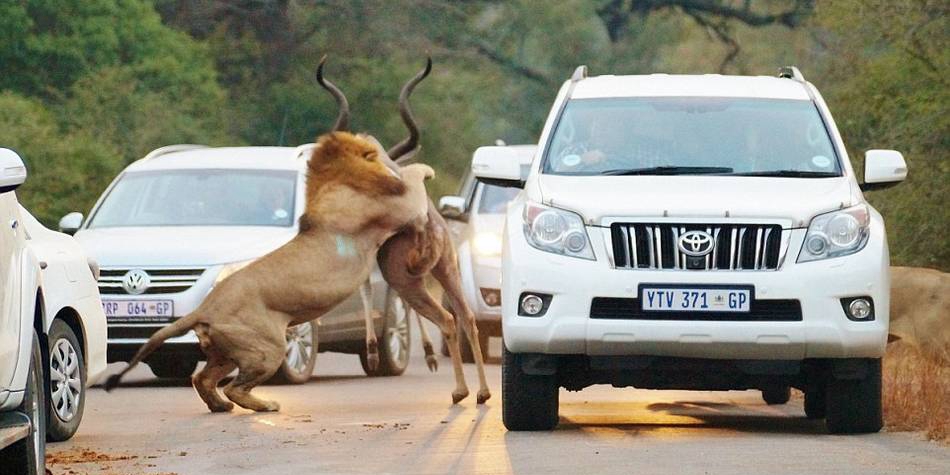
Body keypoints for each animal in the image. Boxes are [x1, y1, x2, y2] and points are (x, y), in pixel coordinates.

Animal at [105, 131, 436, 412]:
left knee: (203, 379)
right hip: (268, 347)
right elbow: (415, 179)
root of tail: (204, 309)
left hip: (227, 352)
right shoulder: (403, 208)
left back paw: (220, 406)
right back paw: (265, 405)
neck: (333, 182)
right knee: (234, 388)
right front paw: (425, 169)